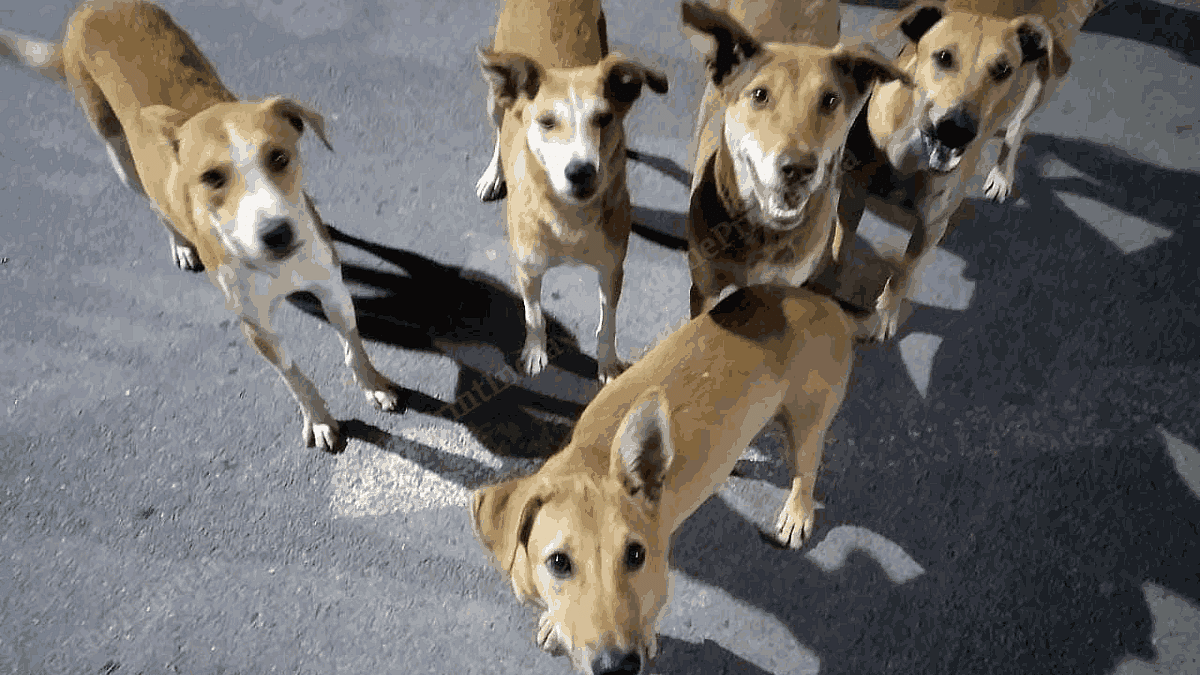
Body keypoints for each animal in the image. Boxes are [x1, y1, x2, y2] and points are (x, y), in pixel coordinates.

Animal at [0, 2, 405, 451]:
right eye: (211, 177)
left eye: (280, 157)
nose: (277, 234)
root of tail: (92, 7)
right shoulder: (255, 327)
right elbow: (292, 373)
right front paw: (318, 418)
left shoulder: (331, 286)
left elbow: (353, 345)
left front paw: (374, 385)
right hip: (121, 158)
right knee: (155, 204)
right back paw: (180, 243)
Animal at [472, 282, 859, 672]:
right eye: (558, 563)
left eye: (636, 555)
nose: (619, 666)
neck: (587, 462)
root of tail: (820, 299)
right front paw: (555, 624)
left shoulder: (657, 585)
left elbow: (648, 620)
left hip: (808, 426)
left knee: (806, 472)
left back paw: (797, 514)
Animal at [475, 0, 667, 381]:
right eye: (547, 122)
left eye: (604, 119)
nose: (581, 172)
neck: (568, 218)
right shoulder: (527, 269)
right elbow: (534, 317)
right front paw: (535, 353)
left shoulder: (612, 269)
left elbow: (607, 324)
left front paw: (608, 364)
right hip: (495, 101)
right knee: (499, 129)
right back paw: (493, 174)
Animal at [681, 0, 902, 319]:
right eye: (759, 94)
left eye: (830, 100)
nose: (798, 169)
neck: (762, 232)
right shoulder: (704, 289)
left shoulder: (782, 285)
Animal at [835, 0, 1099, 338]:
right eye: (943, 57)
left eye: (1003, 69)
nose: (957, 130)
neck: (910, 151)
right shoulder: (852, 196)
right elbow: (841, 245)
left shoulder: (931, 226)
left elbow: (903, 272)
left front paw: (885, 314)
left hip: (1044, 82)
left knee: (1018, 127)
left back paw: (1002, 173)